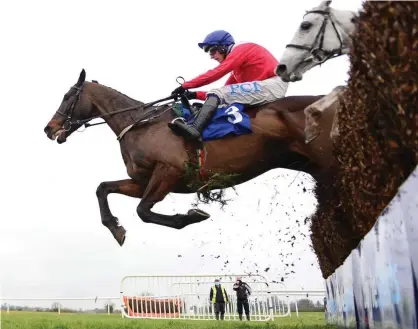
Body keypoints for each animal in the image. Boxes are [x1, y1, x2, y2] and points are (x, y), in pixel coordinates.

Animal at [43, 70, 334, 247]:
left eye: (67, 97)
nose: (49, 128)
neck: (139, 125)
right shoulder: (143, 181)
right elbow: (103, 188)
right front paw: (116, 228)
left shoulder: (168, 173)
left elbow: (143, 211)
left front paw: (192, 215)